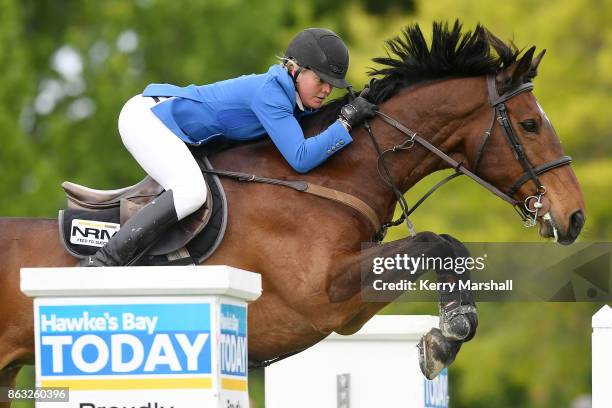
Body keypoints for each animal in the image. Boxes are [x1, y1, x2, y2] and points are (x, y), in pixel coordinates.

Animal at [0, 22, 584, 402]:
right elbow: (437, 243)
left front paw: (443, 335)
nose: (575, 217)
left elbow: (440, 248)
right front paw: (449, 334)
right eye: (530, 124)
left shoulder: (348, 311)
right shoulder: (321, 292)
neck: (324, 178)